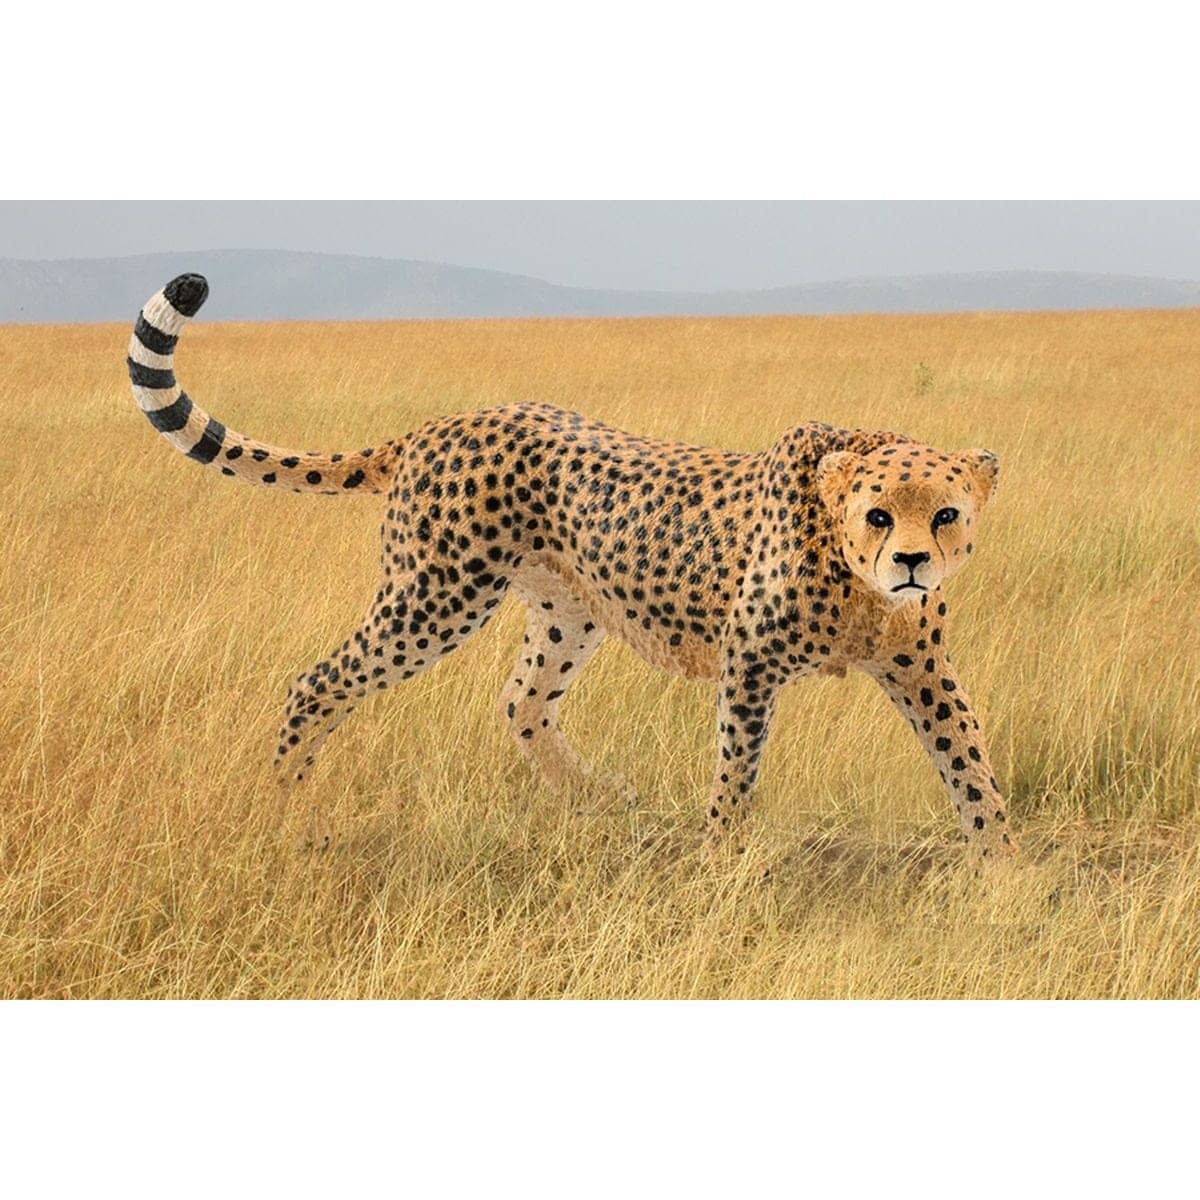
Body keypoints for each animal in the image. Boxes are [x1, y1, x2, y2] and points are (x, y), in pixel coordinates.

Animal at [127, 273, 1017, 862]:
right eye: (879, 515)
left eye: (945, 513)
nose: (912, 562)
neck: (857, 582)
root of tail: (444, 422)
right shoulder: (751, 663)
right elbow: (737, 768)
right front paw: (722, 857)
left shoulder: (919, 665)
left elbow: (968, 758)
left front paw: (1004, 867)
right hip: (436, 596)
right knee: (318, 681)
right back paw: (289, 807)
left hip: (567, 609)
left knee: (521, 700)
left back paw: (597, 797)